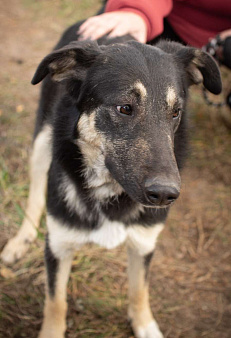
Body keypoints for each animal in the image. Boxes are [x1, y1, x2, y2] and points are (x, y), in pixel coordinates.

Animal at [1, 18, 222, 338]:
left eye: (175, 112)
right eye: (124, 108)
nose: (165, 195)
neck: (109, 190)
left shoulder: (144, 243)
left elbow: (139, 290)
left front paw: (144, 324)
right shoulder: (59, 245)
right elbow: (56, 301)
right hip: (43, 137)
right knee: (35, 191)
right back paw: (22, 239)